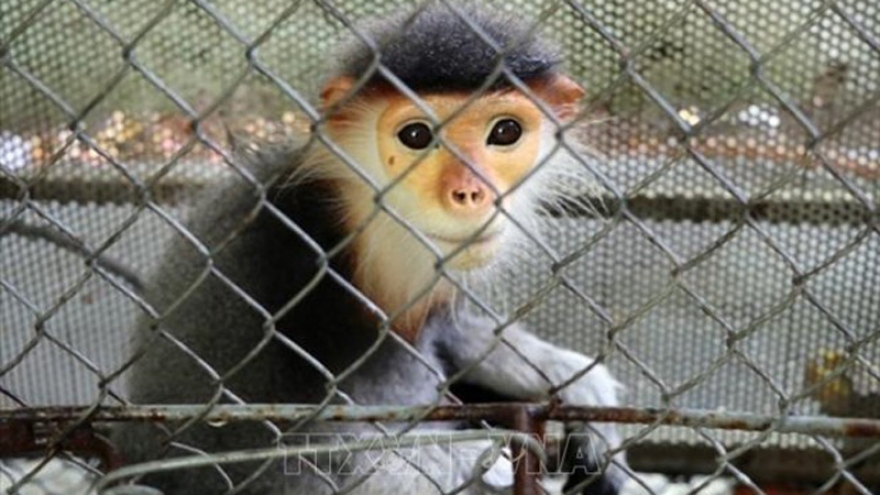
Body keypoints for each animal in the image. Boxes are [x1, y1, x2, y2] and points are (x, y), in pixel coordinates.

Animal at [110, 3, 628, 495]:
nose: (469, 192)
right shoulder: (261, 253)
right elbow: (257, 460)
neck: (357, 228)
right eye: (416, 136)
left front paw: (582, 387)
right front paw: (481, 460)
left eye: (504, 132)